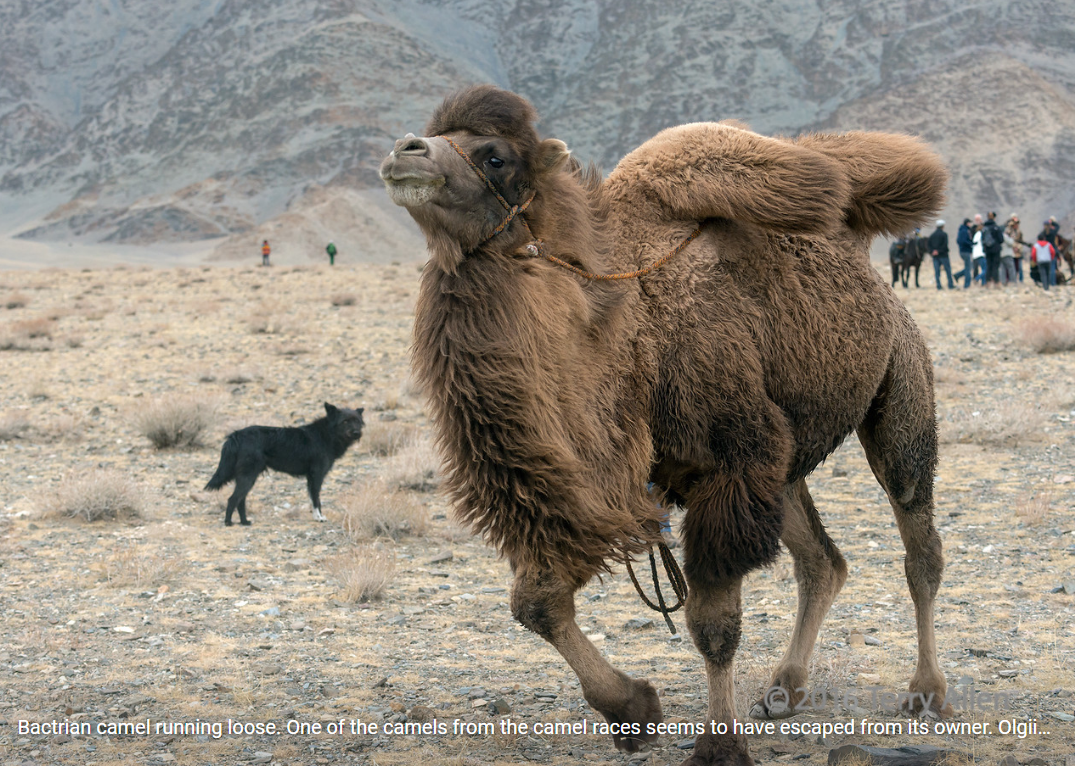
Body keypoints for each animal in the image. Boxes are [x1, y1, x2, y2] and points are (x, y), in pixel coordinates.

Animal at [204, 399, 365, 526]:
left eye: (357, 421)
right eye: (345, 421)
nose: (357, 433)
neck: (326, 435)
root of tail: (236, 434)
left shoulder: (310, 477)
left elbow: (314, 499)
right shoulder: (316, 476)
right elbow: (316, 499)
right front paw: (319, 518)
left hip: (247, 478)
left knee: (240, 500)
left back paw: (244, 522)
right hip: (248, 477)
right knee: (233, 499)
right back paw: (228, 522)